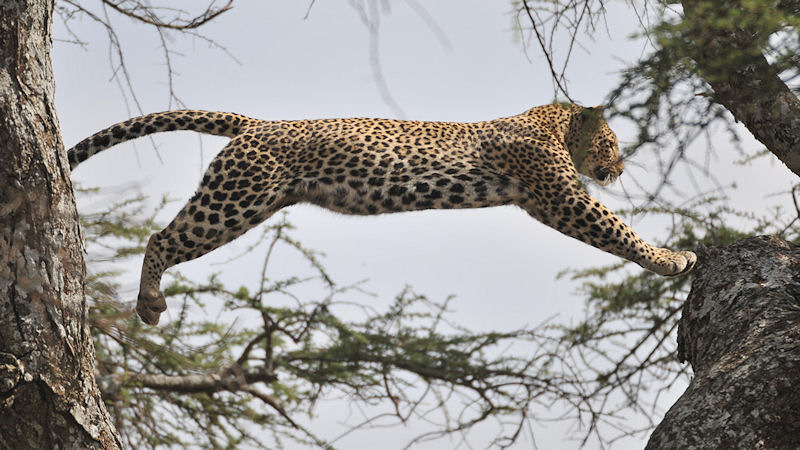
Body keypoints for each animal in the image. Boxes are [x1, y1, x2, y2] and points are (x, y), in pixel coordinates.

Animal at [67, 104, 696, 325]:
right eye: (611, 142)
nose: (621, 167)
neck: (555, 122)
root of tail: (255, 122)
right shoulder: (564, 197)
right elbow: (619, 229)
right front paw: (674, 257)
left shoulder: (544, 202)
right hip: (231, 200)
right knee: (159, 238)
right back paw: (148, 303)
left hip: (249, 204)